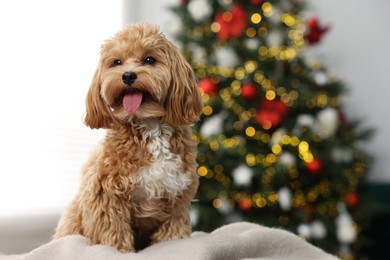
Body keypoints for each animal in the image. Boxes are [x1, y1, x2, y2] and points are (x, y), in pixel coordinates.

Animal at [54, 23, 204, 252]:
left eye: (149, 60)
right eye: (117, 62)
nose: (128, 76)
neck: (149, 125)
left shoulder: (177, 198)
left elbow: (172, 233)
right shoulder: (106, 196)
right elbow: (113, 234)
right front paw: (119, 251)